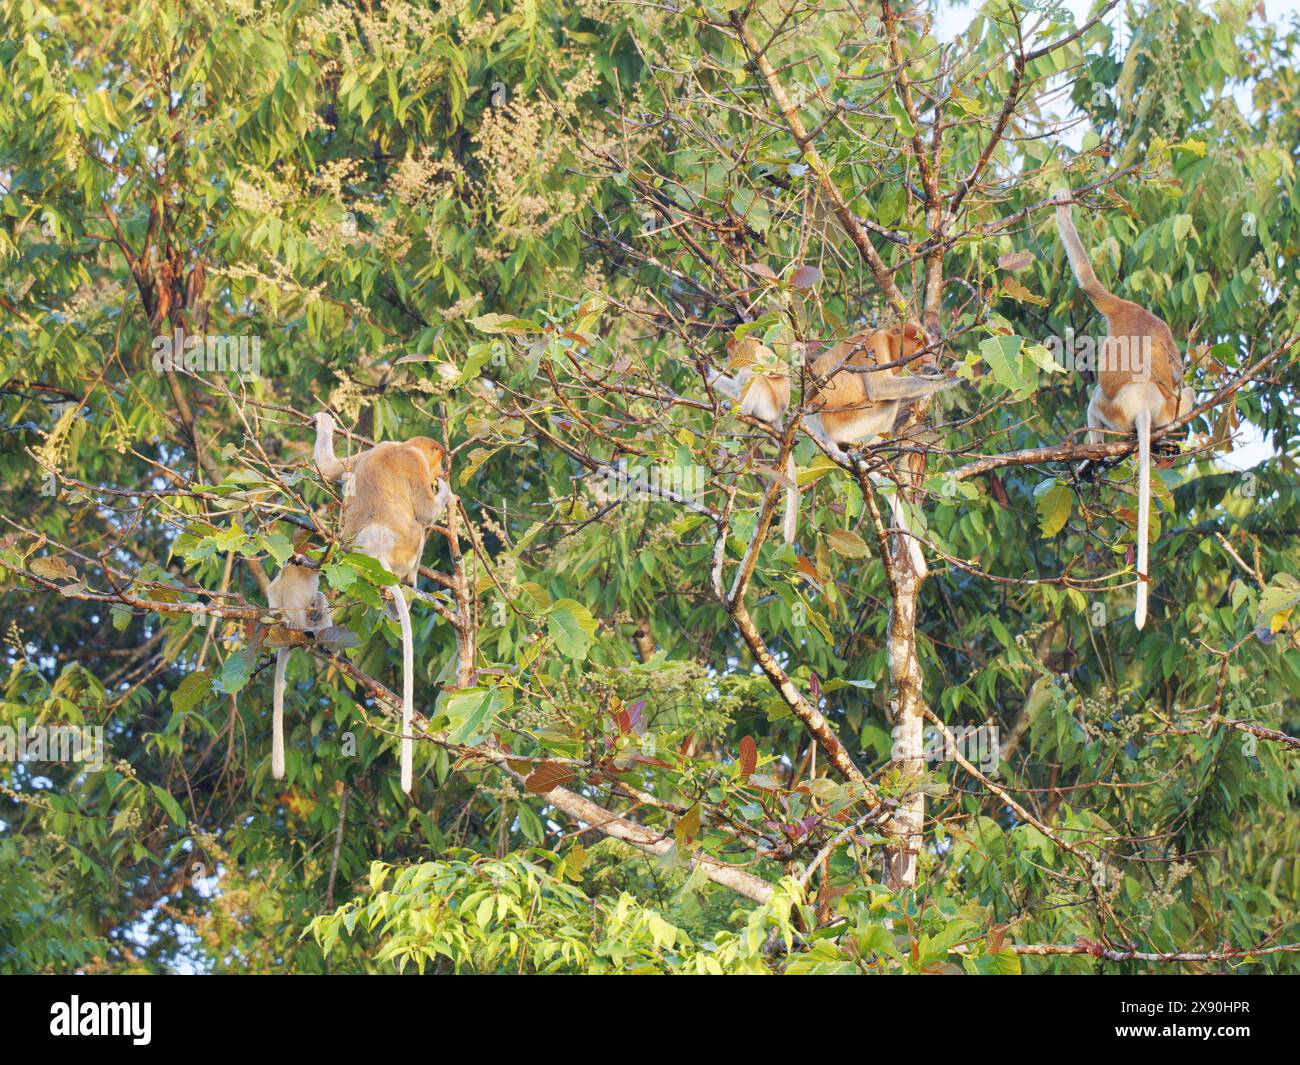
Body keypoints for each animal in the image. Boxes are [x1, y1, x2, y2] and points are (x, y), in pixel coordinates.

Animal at [266, 562, 331, 781]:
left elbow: (319, 595)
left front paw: (319, 600)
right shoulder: (284, 572)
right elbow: (274, 592)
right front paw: (285, 619)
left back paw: (322, 640)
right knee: (288, 594)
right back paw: (300, 629)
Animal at [312, 411, 452, 792]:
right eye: (437, 460)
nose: (441, 473)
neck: (402, 446)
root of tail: (374, 555)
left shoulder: (377, 447)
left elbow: (330, 467)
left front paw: (324, 422)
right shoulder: (412, 462)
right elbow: (425, 511)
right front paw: (446, 492)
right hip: (407, 549)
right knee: (420, 527)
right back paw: (411, 584)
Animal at [1055, 196, 1196, 629]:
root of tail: (1145, 406)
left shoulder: (1115, 307)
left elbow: (1087, 281)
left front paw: (1062, 202)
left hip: (1112, 408)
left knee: (1094, 399)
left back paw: (1090, 464)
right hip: (1168, 408)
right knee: (1187, 393)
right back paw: (1163, 444)